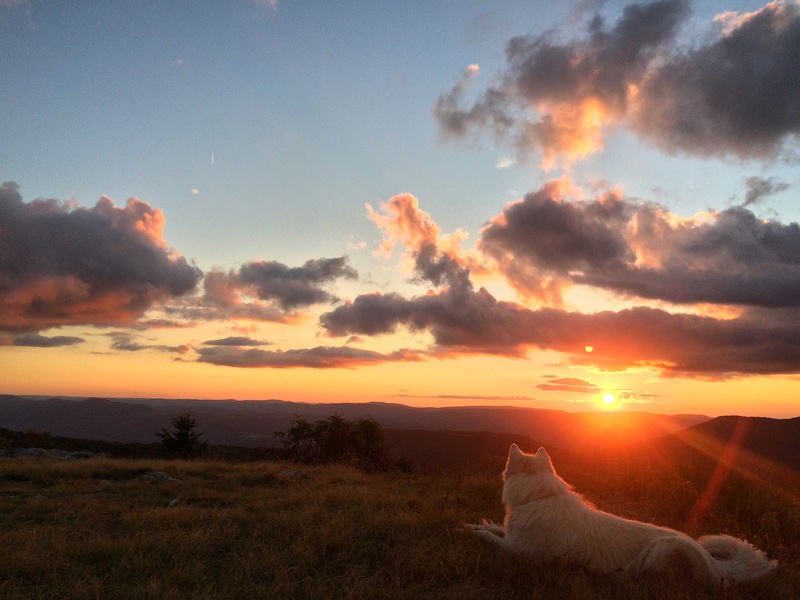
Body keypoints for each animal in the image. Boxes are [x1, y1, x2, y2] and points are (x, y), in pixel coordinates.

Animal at [466, 446, 780, 584]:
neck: (540, 497)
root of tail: (717, 566)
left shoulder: (518, 551)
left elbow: (489, 538)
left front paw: (473, 533)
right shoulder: (511, 537)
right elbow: (490, 528)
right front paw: (468, 525)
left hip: (664, 549)